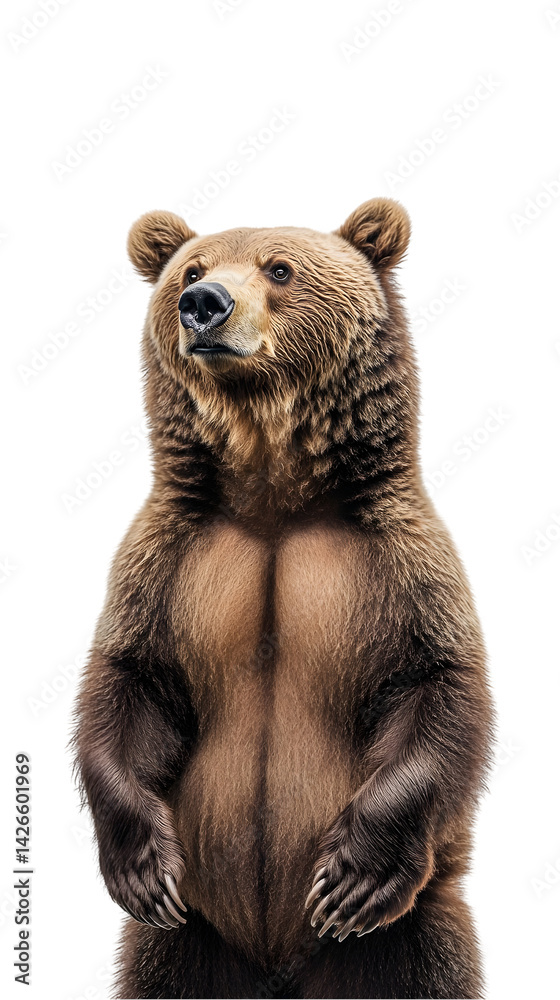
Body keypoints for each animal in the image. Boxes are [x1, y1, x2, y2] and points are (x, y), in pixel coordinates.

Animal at [74, 198, 494, 1000]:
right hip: (189, 945)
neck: (273, 495)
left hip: (404, 940)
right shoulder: (170, 559)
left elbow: (437, 682)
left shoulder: (395, 558)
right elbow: (129, 680)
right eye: (192, 269)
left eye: (279, 267)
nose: (204, 306)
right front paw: (142, 867)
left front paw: (353, 877)